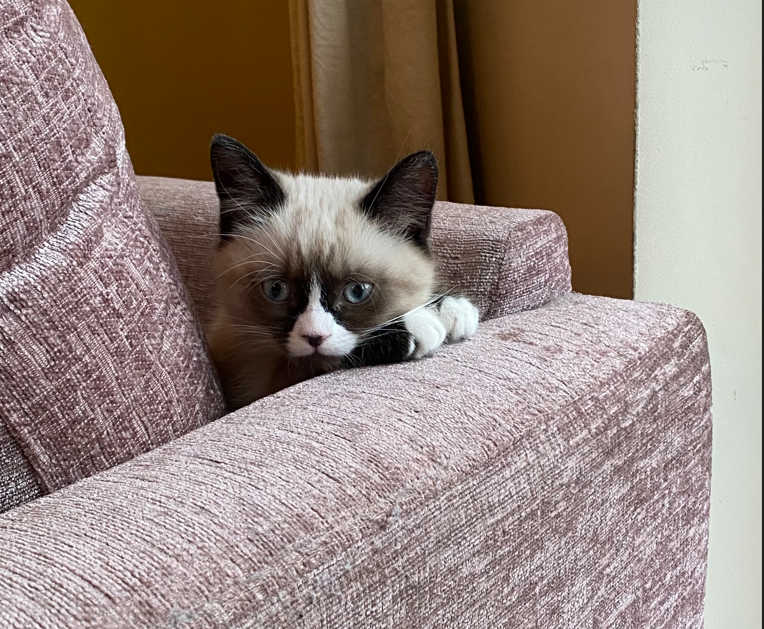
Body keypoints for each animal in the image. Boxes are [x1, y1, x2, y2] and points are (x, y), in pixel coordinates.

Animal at [206, 134, 474, 408]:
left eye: (357, 291)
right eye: (276, 290)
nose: (314, 338)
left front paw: (449, 307)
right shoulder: (259, 374)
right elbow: (339, 355)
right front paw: (424, 322)